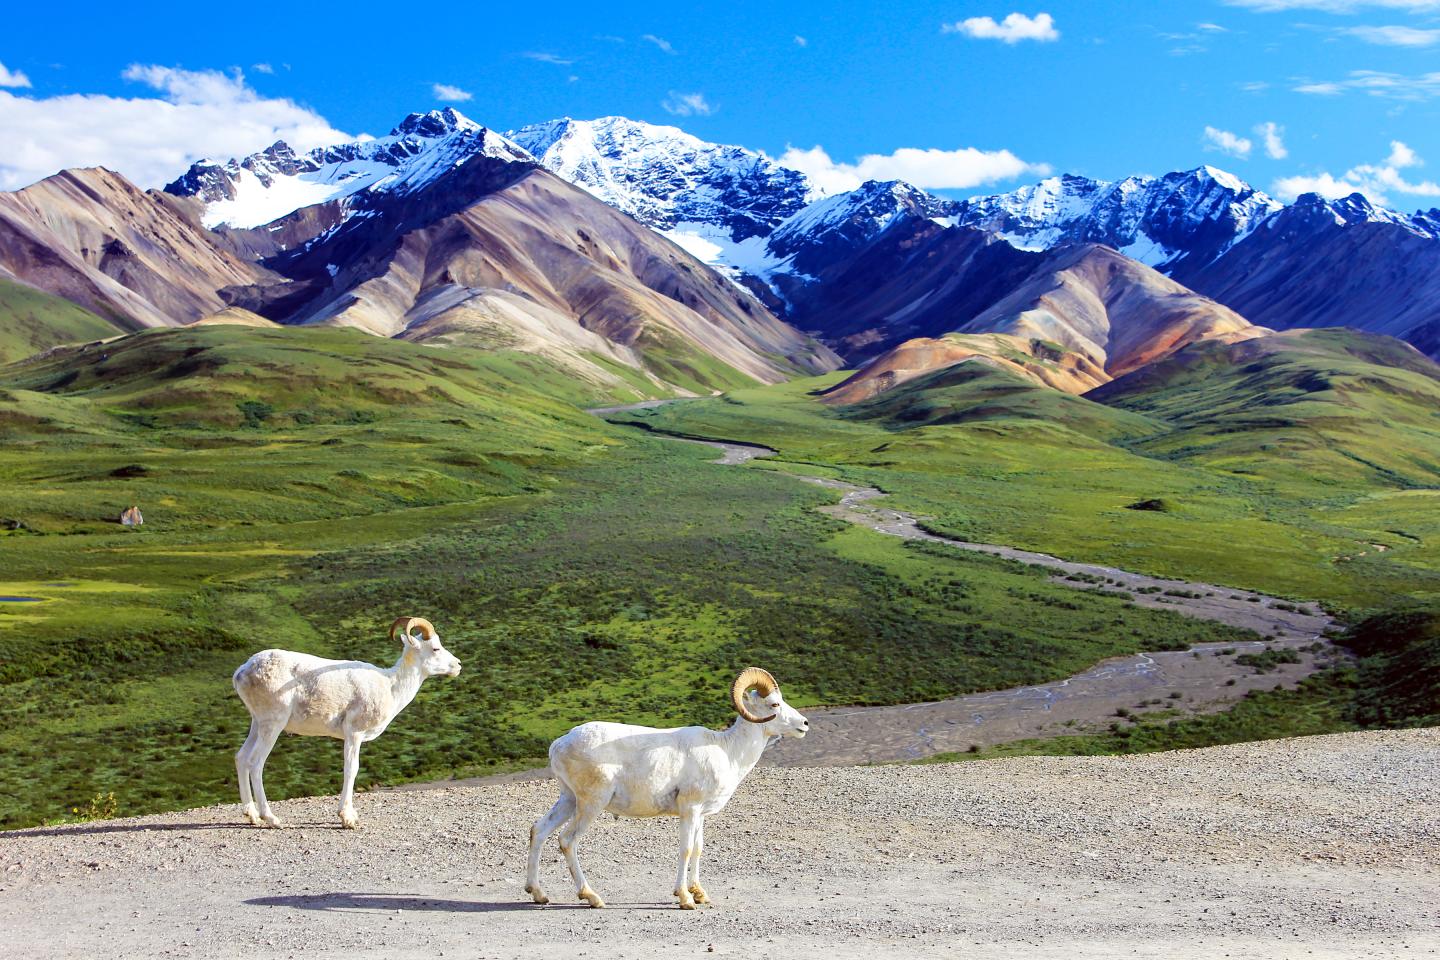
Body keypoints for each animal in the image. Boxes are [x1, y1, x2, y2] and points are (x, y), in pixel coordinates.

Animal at [231, 616, 461, 829]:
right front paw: (347, 819)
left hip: (257, 723)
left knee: (241, 758)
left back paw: (252, 816)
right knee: (255, 763)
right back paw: (271, 819)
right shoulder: (354, 734)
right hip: (273, 724)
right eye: (435, 648)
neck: (390, 686)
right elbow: (352, 769)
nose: (458, 665)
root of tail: (241, 672)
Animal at [524, 667, 809, 909]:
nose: (804, 724)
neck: (728, 751)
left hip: (568, 799)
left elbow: (698, 848)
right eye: (774, 704)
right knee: (567, 840)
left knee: (539, 830)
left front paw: (700, 894)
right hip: (591, 803)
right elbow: (685, 849)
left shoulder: (700, 815)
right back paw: (592, 897)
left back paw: (538, 894)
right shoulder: (689, 810)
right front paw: (685, 899)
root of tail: (559, 743)